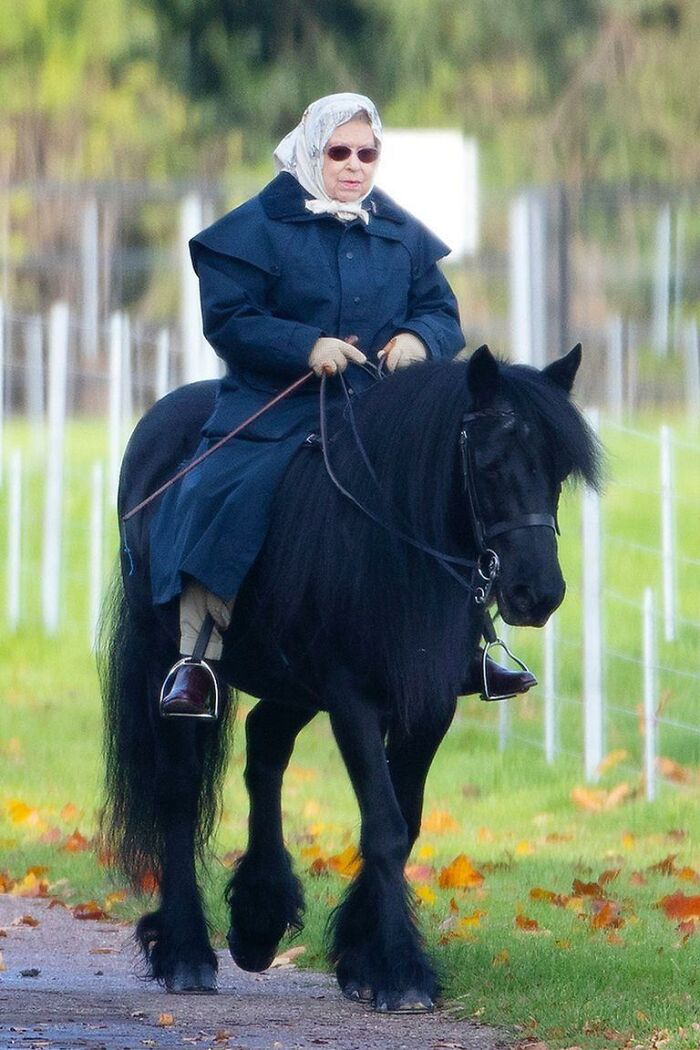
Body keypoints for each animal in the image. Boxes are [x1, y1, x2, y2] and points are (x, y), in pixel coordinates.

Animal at [99, 344, 601, 1012]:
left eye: (558, 470)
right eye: (490, 464)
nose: (537, 594)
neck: (392, 537)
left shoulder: (429, 703)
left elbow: (405, 821)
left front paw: (363, 956)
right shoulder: (352, 698)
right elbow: (385, 826)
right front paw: (401, 970)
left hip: (292, 684)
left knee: (265, 746)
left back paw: (258, 918)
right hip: (174, 665)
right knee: (179, 789)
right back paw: (186, 952)